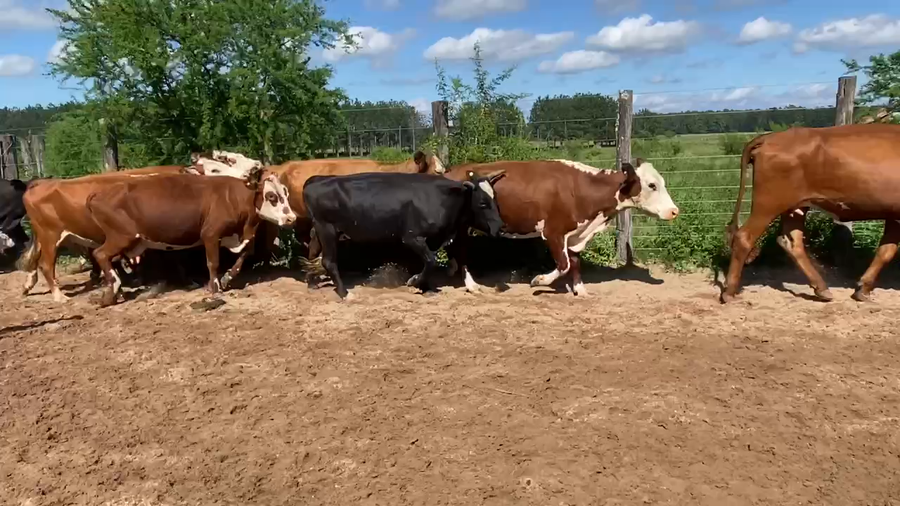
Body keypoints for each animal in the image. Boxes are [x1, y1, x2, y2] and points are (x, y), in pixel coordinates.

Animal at [18, 152, 261, 302]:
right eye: (215, 168)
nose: (251, 173)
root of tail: (41, 182)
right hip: (52, 235)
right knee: (47, 264)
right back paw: (60, 296)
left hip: (46, 235)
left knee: (35, 260)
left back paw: (29, 286)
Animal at [84, 167, 296, 307]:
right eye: (271, 196)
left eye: (286, 193)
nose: (291, 218)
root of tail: (98, 193)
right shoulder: (210, 234)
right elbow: (213, 262)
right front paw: (214, 288)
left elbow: (245, 255)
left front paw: (227, 278)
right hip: (121, 236)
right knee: (100, 254)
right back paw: (111, 292)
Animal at [302, 170, 504, 300]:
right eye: (483, 203)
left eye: (495, 199)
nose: (501, 227)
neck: (440, 198)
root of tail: (316, 180)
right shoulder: (411, 237)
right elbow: (430, 261)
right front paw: (414, 281)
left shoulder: (431, 239)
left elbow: (428, 262)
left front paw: (426, 288)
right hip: (327, 229)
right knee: (328, 261)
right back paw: (345, 293)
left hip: (321, 231)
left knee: (312, 252)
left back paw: (311, 282)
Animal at [442, 159, 679, 295]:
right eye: (652, 185)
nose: (674, 211)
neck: (579, 188)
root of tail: (449, 172)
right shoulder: (553, 233)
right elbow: (564, 264)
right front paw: (539, 280)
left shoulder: (576, 234)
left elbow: (574, 261)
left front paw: (580, 290)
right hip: (463, 228)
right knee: (460, 252)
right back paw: (471, 284)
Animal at [722, 123, 900, 303]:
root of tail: (769, 137)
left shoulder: (894, 215)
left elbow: (886, 251)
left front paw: (863, 289)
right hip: (768, 203)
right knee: (744, 237)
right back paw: (729, 292)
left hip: (795, 208)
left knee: (792, 243)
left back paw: (822, 289)